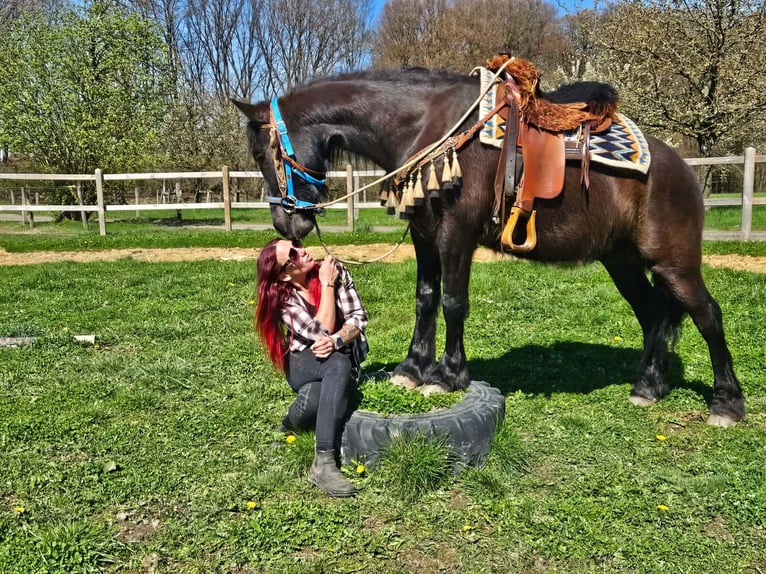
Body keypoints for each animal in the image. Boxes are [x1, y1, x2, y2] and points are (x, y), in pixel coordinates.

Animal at [233, 64, 745, 427]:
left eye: (264, 154)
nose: (285, 222)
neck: (428, 127)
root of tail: (682, 168)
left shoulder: (455, 235)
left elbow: (454, 302)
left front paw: (447, 376)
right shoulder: (425, 237)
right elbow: (425, 299)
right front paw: (413, 368)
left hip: (674, 262)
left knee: (707, 315)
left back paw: (727, 403)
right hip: (622, 262)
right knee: (654, 314)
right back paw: (649, 387)